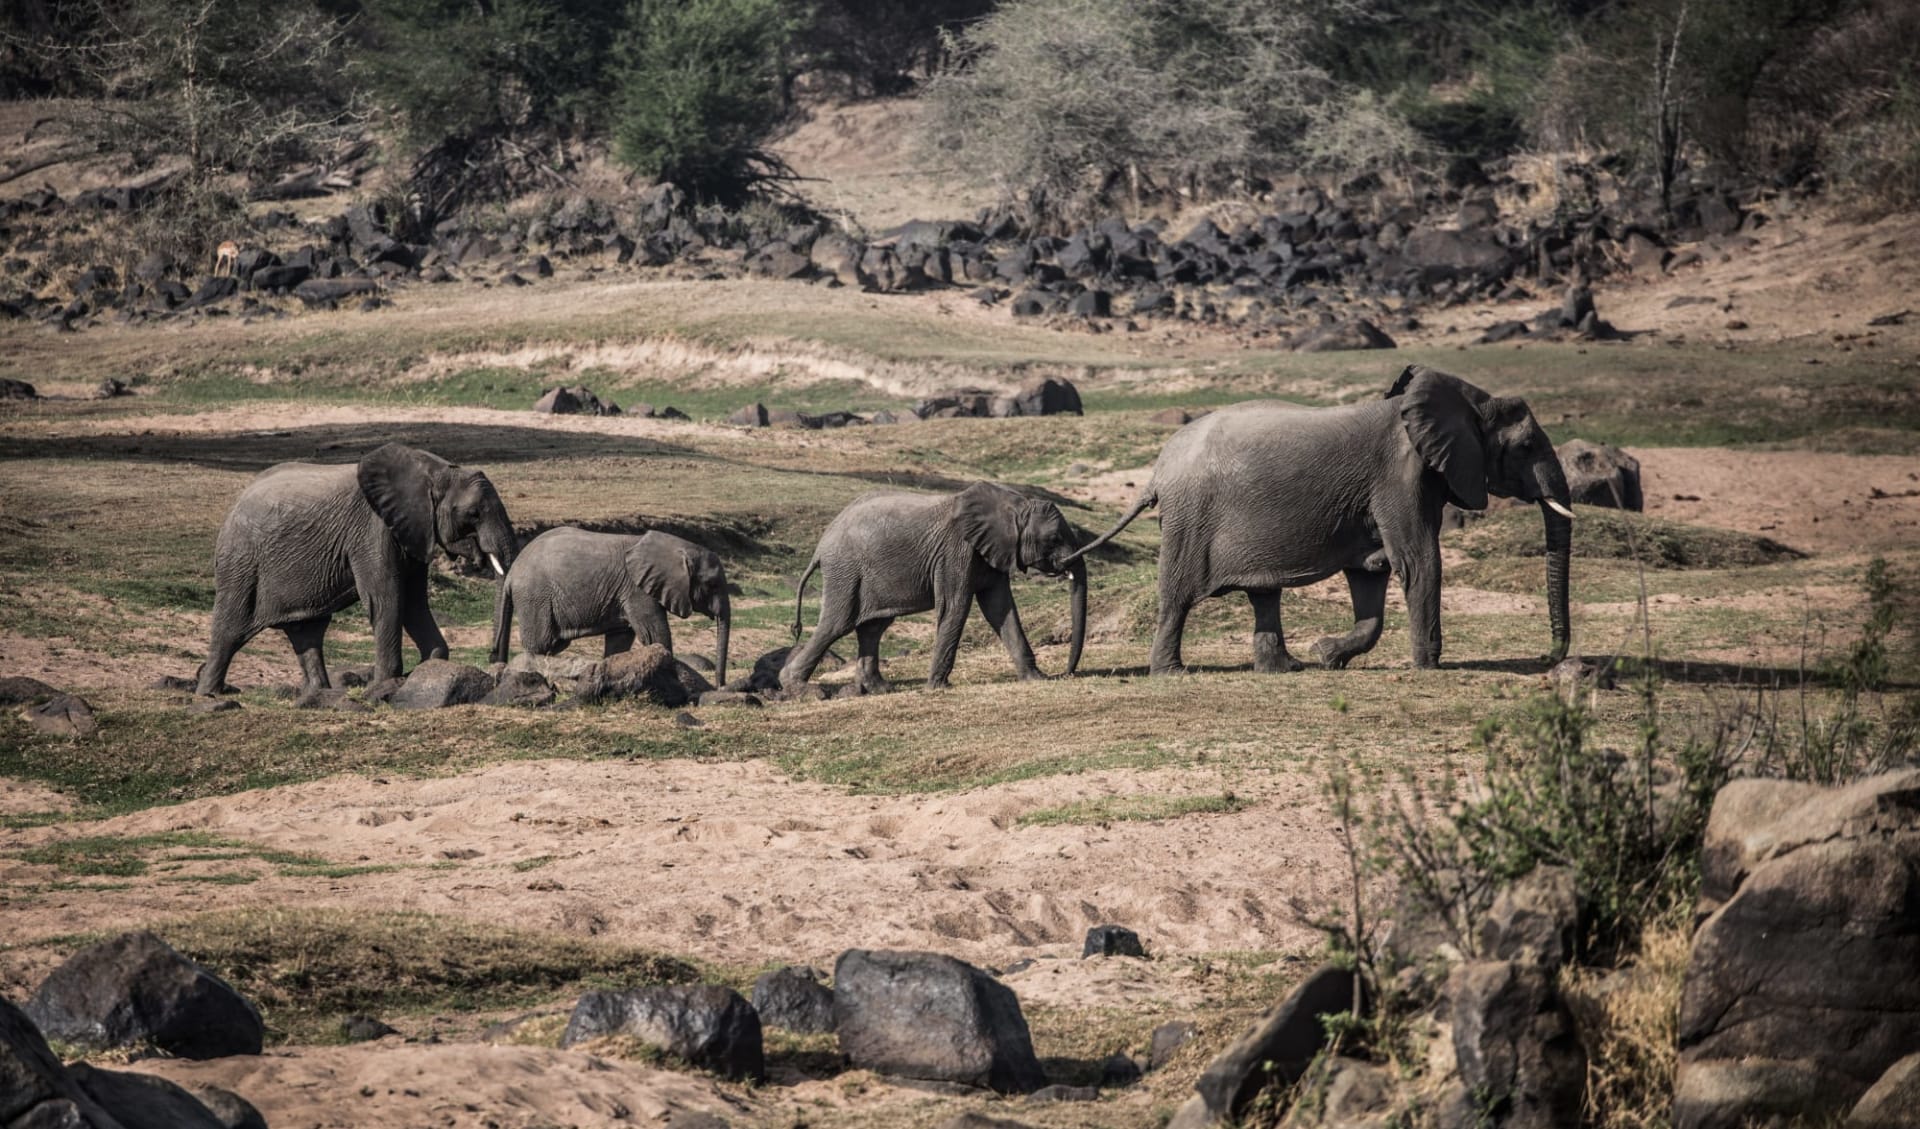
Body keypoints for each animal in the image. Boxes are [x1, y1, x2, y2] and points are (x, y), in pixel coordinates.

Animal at [194, 443, 518, 695]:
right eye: (473, 514)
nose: (495, 661)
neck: (435, 471)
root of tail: (235, 506)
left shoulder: (413, 531)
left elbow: (415, 603)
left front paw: (431, 665)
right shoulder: (373, 529)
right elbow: (387, 599)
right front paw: (385, 685)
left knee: (307, 632)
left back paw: (319, 693)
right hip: (241, 562)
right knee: (230, 628)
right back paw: (208, 694)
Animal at [491, 526, 729, 683]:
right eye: (712, 584)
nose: (720, 686)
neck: (678, 547)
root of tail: (511, 573)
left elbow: (620, 640)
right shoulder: (637, 590)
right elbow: (654, 635)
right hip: (534, 598)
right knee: (539, 643)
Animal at [775, 480, 1082, 691]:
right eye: (1054, 538)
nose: (1067, 672)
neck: (1014, 505)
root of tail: (820, 546)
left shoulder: (990, 552)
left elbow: (1000, 609)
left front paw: (1036, 679)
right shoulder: (956, 551)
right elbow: (955, 607)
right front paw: (938, 688)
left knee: (873, 626)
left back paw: (879, 689)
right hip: (845, 572)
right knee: (837, 624)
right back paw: (799, 689)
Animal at [1067, 368, 1574, 672]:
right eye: (1526, 446)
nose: (1548, 656)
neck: (1467, 398)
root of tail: (1158, 470)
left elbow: (1372, 573)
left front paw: (1327, 655)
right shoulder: (1399, 475)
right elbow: (1417, 561)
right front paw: (1428, 666)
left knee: (1263, 593)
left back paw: (1284, 668)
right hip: (1189, 520)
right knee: (1177, 596)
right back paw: (1173, 671)